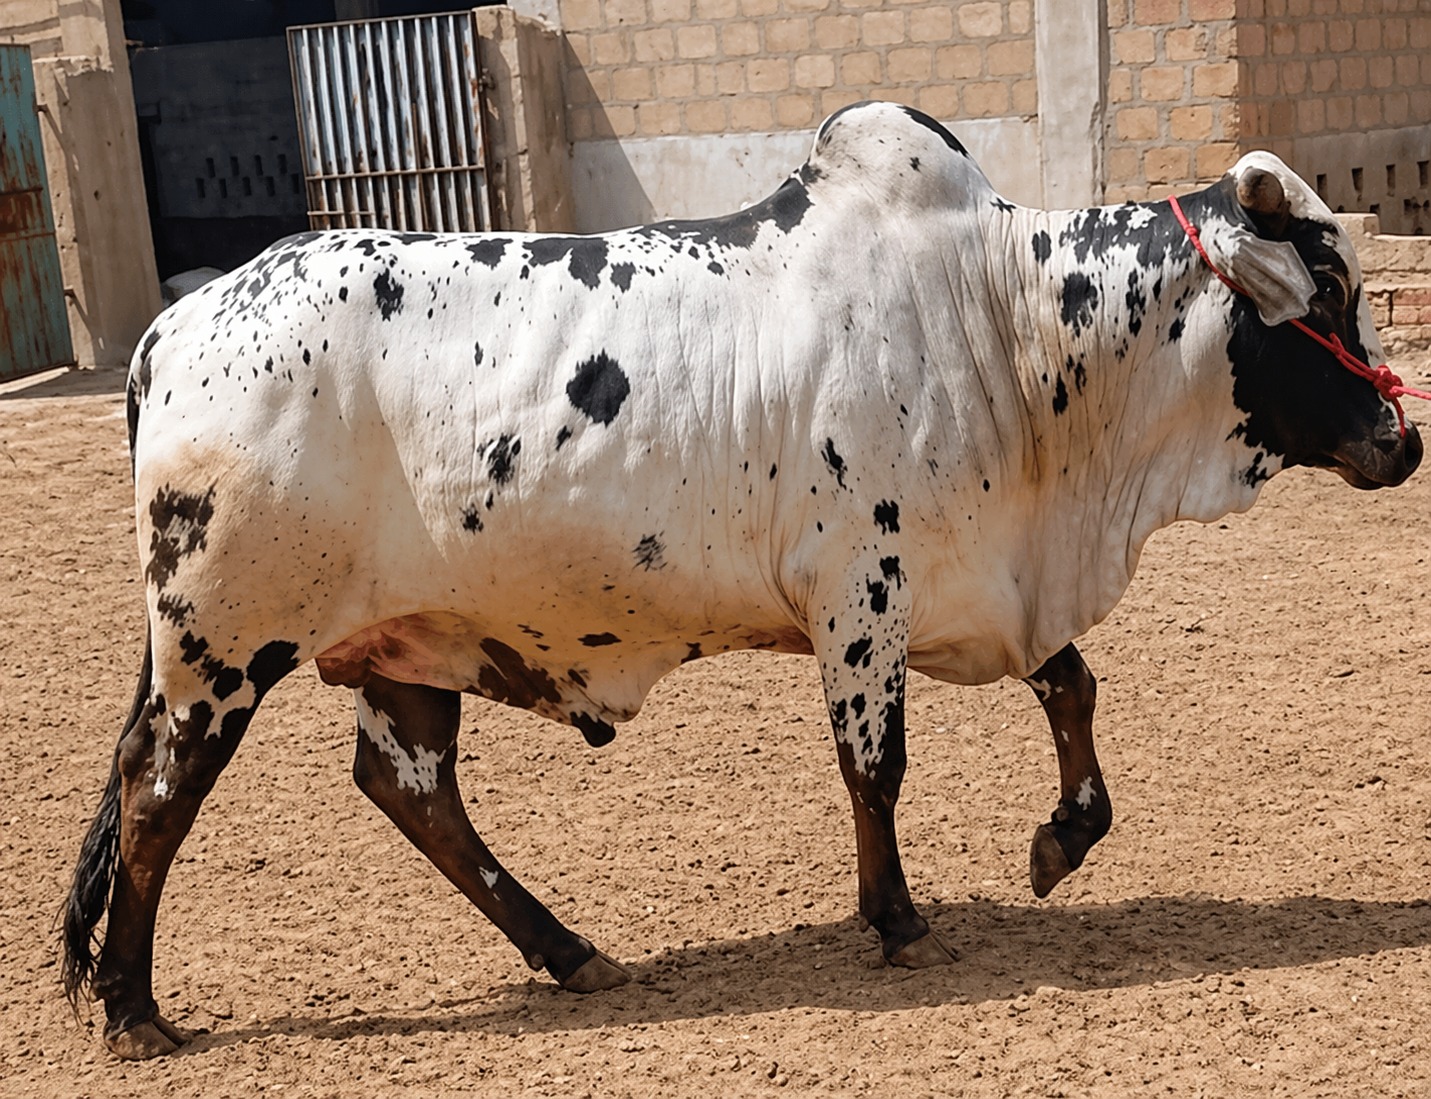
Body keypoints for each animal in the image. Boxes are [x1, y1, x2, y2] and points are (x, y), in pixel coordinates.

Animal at [62, 102, 1421, 1059]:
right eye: (1330, 290)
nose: (1402, 440)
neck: (1005, 321)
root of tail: (171, 333)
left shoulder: (987, 583)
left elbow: (1074, 690)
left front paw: (1058, 842)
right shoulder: (859, 593)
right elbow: (876, 766)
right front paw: (895, 918)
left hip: (407, 644)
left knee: (412, 794)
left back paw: (570, 951)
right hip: (221, 644)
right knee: (155, 789)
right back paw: (134, 1008)